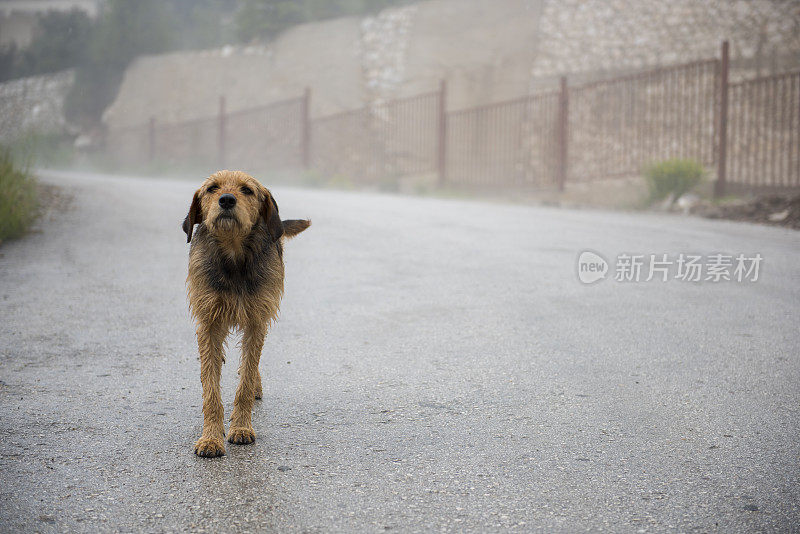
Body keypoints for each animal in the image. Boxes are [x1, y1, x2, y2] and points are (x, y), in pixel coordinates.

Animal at [182, 170, 310, 458]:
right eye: (212, 188)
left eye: (247, 190)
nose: (227, 200)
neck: (233, 255)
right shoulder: (209, 323)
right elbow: (210, 387)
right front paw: (211, 438)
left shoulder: (256, 321)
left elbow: (247, 378)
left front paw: (240, 428)